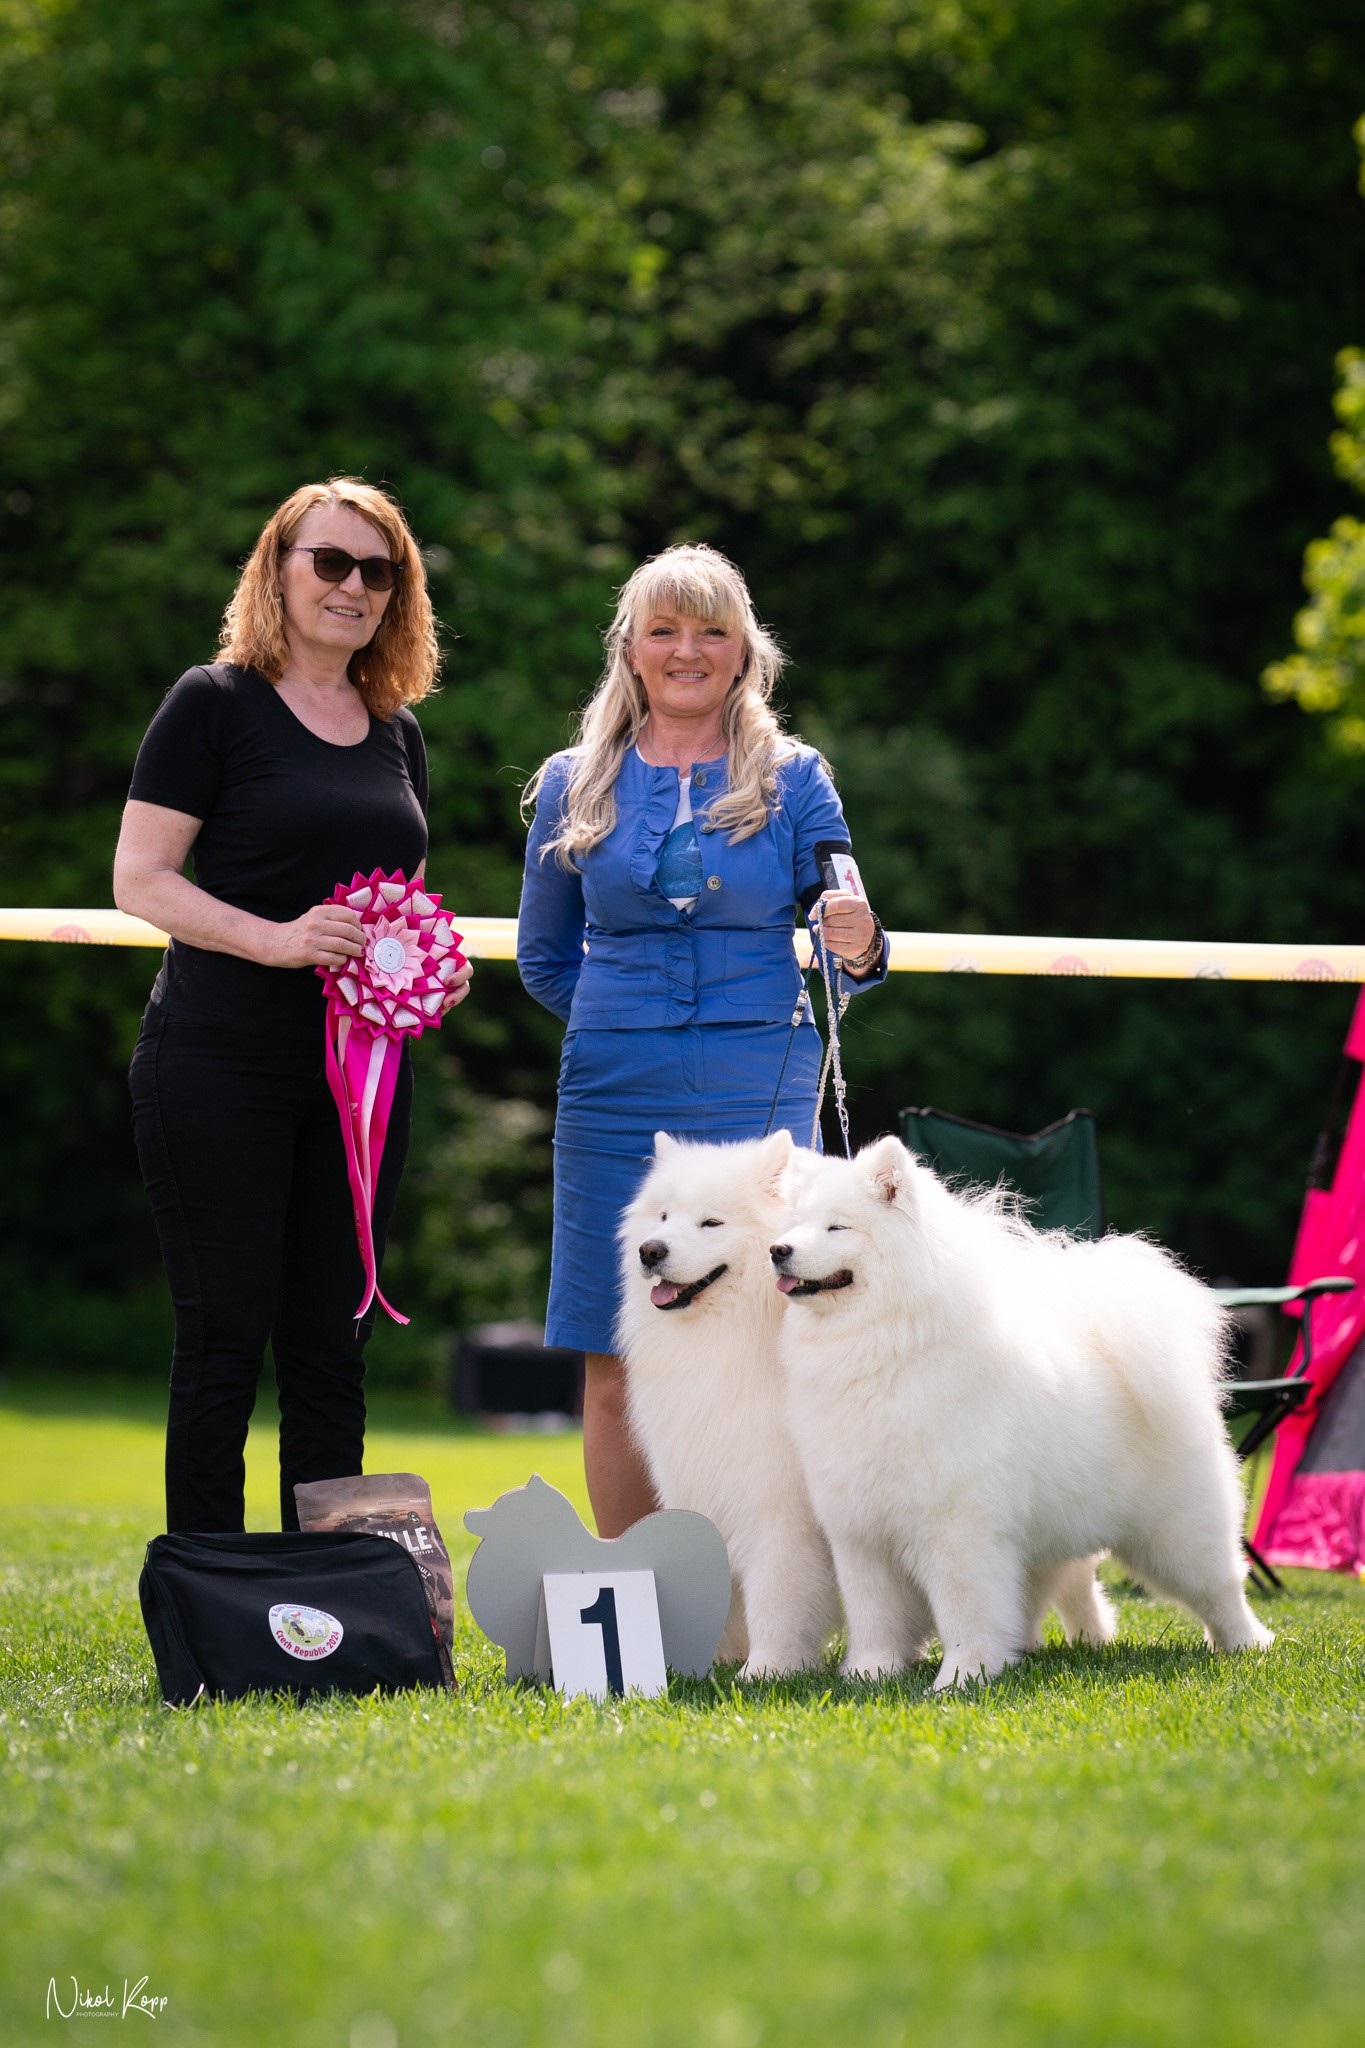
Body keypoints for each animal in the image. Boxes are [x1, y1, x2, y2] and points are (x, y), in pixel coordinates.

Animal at [617, 1130, 843, 1676]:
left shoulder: (777, 1511)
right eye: (662, 1217)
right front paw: (704, 1659)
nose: (650, 1250)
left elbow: (777, 1595)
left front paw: (767, 1668)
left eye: (711, 1222)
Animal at [773, 1134, 1272, 1689]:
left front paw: (963, 1676)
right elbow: (873, 1615)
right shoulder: (860, 1532)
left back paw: (1247, 1645)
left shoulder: (959, 1527)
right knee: (1070, 1587)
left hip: (1176, 1533)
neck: (882, 1346)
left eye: (837, 1227)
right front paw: (870, 1673)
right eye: (794, 1224)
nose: (778, 1250)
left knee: (1221, 1588)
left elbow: (965, 1610)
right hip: (1058, 1529)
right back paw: (1076, 1641)